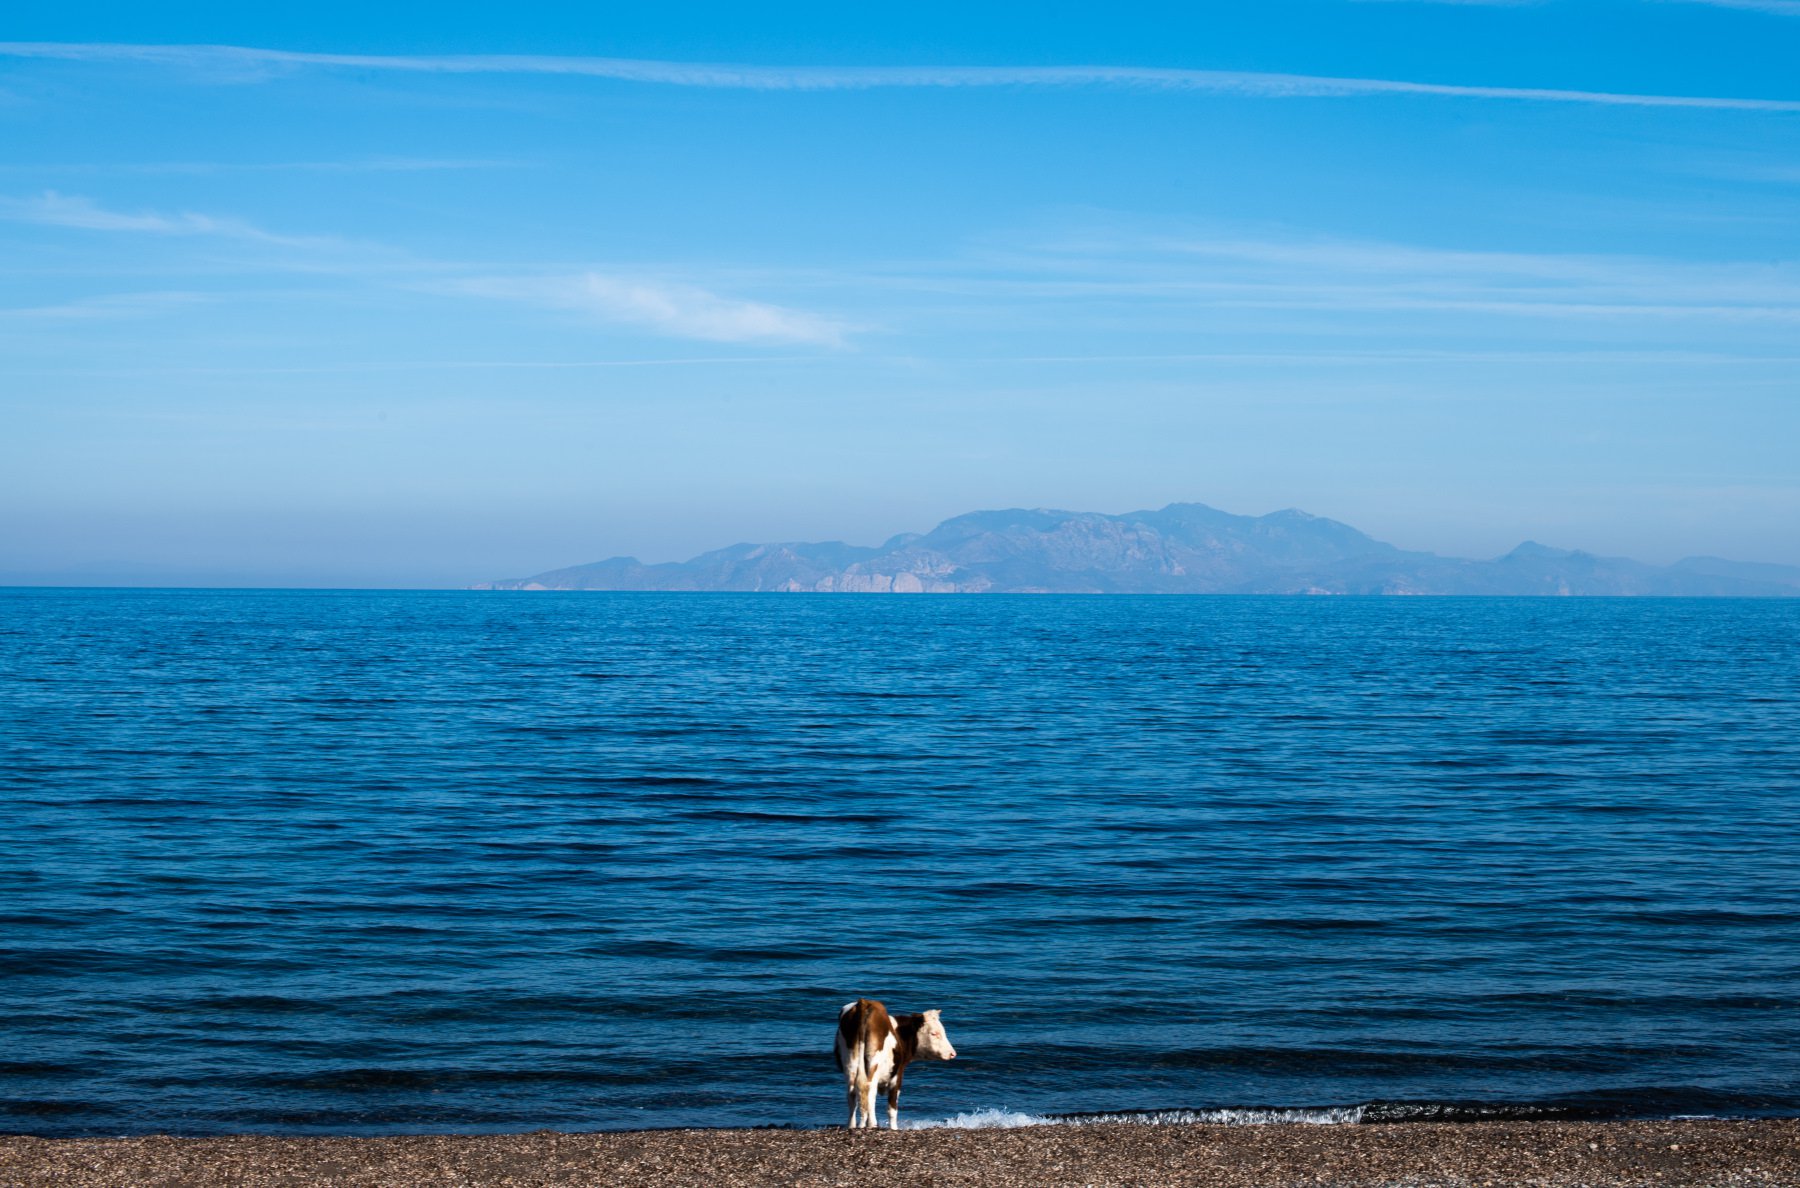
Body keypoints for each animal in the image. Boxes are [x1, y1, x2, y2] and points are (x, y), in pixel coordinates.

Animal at [835, 1000, 964, 1130]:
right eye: (934, 1033)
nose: (952, 1053)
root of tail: (864, 1003)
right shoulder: (897, 1075)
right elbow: (892, 1108)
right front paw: (894, 1128)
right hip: (873, 1064)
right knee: (869, 1091)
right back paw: (872, 1124)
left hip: (850, 1063)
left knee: (852, 1094)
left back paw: (851, 1125)